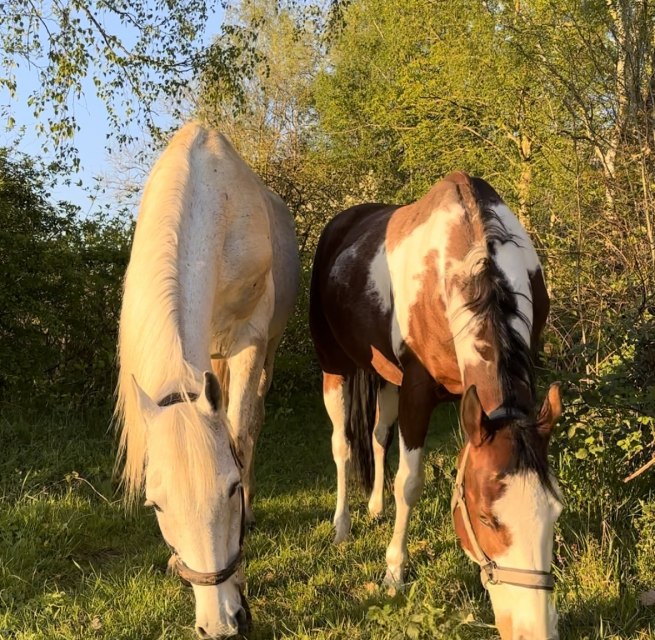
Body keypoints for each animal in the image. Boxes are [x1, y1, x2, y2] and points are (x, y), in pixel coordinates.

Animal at [115, 122, 299, 639]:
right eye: (156, 506)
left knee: (251, 419)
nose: (220, 624)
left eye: (232, 489)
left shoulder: (250, 338)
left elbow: (241, 433)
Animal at [309, 171, 563, 640]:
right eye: (485, 518)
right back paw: (342, 526)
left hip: (385, 378)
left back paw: (374, 508)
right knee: (342, 445)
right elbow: (409, 482)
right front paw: (394, 571)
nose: (532, 630)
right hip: (335, 368)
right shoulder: (417, 390)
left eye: (555, 511)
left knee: (377, 435)